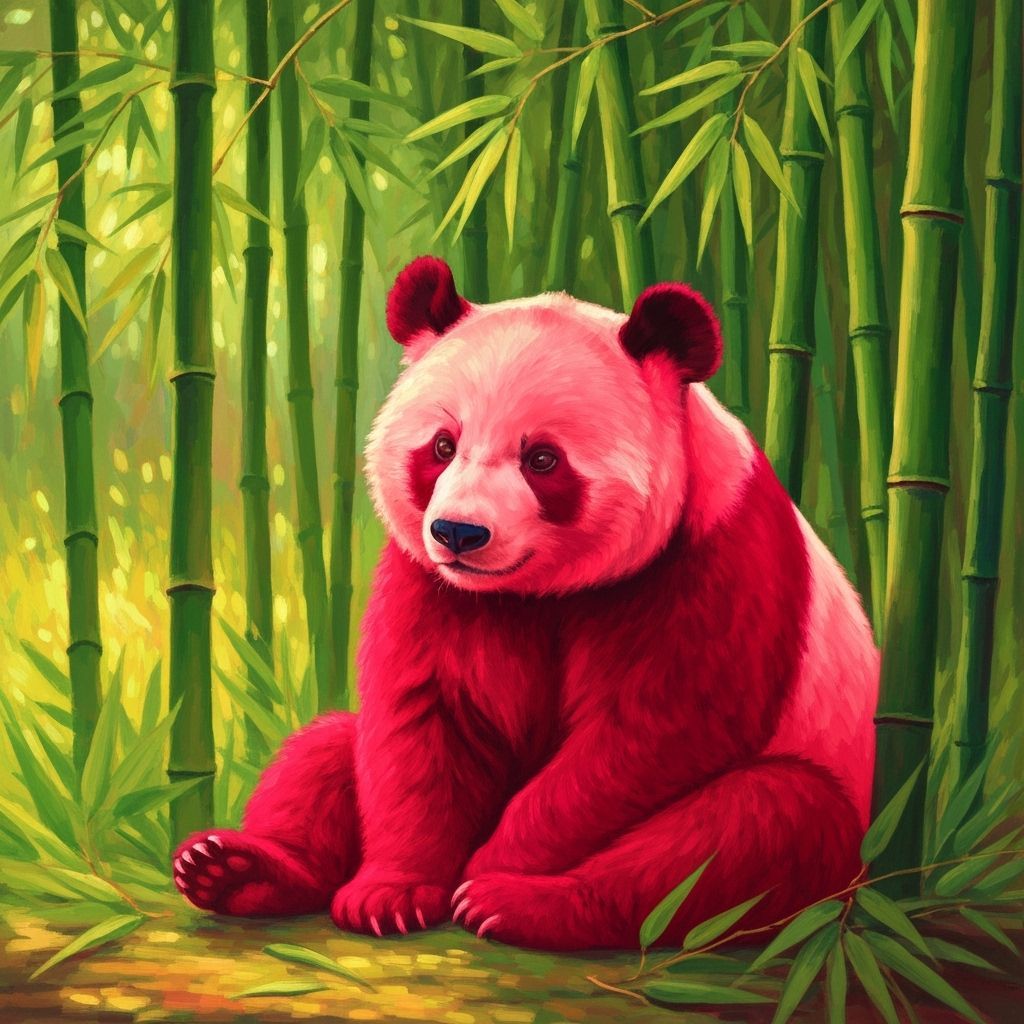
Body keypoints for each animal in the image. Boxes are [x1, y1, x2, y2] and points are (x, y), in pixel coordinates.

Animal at [173, 256, 879, 951]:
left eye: (542, 459)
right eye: (441, 446)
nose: (459, 533)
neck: (536, 591)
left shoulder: (713, 561)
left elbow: (654, 732)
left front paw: (492, 865)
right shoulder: (431, 586)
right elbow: (419, 718)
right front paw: (389, 893)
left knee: (747, 830)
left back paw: (523, 904)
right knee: (319, 750)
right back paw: (230, 869)